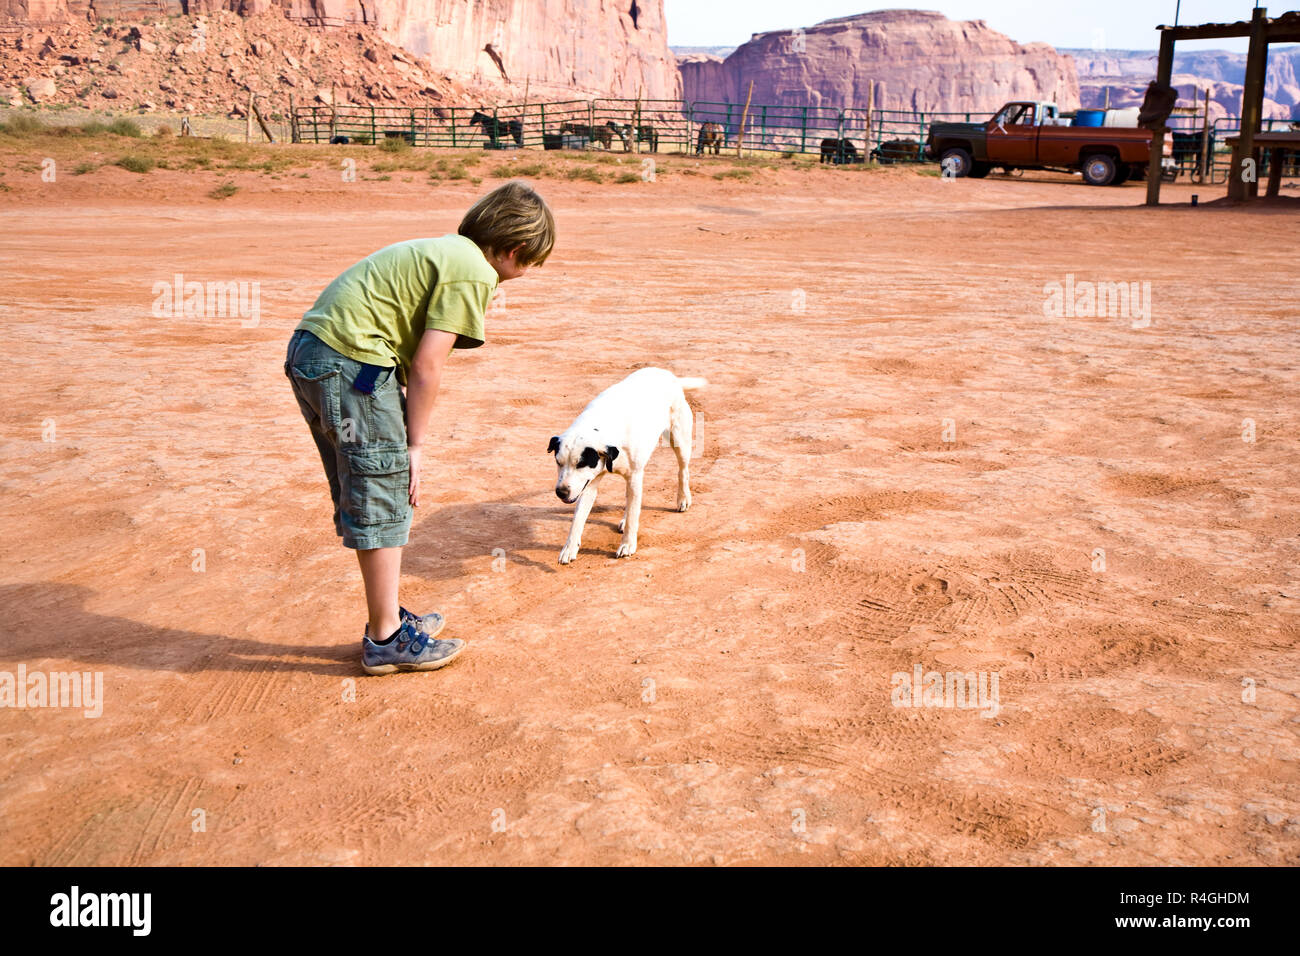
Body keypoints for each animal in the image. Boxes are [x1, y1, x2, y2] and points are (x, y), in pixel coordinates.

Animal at [551, 366, 712, 561]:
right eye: (558, 462)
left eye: (580, 464)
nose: (561, 492)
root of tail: (668, 374)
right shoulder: (589, 484)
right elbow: (578, 519)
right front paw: (569, 548)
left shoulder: (634, 475)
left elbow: (634, 515)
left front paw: (627, 544)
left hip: (679, 441)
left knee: (683, 471)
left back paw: (683, 499)